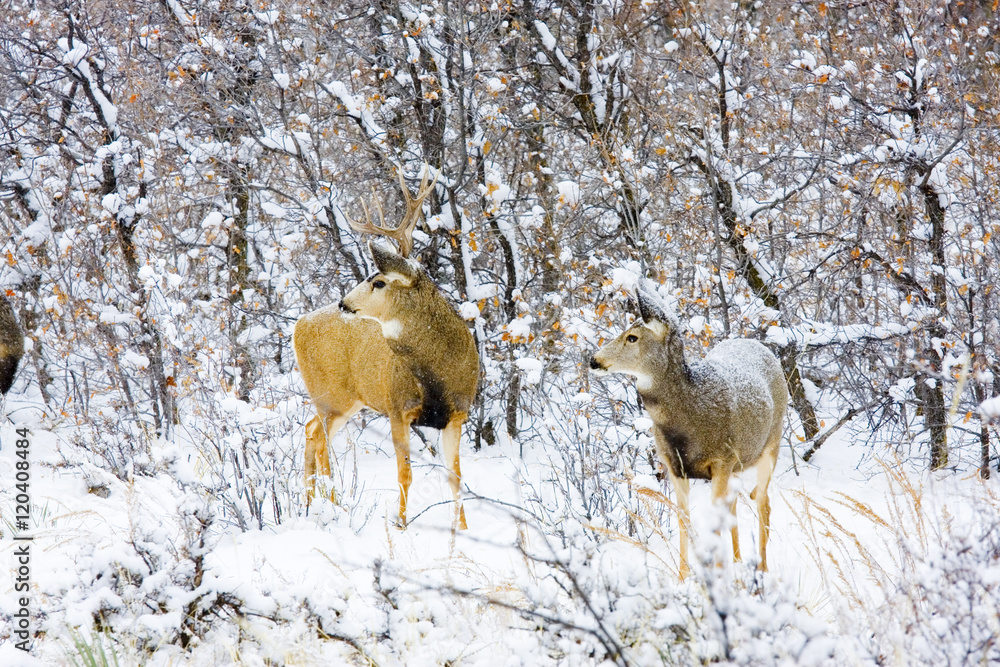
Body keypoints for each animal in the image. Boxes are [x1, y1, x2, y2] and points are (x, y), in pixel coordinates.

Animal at [293, 168, 479, 529]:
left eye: (378, 281)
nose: (344, 302)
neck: (437, 375)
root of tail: (299, 323)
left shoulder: (457, 414)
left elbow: (456, 476)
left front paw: (462, 529)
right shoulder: (397, 407)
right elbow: (405, 474)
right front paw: (401, 525)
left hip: (345, 400)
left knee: (310, 432)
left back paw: (309, 505)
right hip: (332, 396)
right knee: (321, 441)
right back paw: (334, 506)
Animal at [589, 285, 788, 579]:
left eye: (632, 337)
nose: (593, 360)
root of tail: (758, 345)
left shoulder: (721, 460)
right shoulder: (675, 466)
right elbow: (683, 520)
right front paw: (684, 577)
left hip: (771, 444)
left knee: (763, 500)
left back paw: (761, 569)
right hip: (739, 463)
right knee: (738, 504)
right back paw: (739, 562)